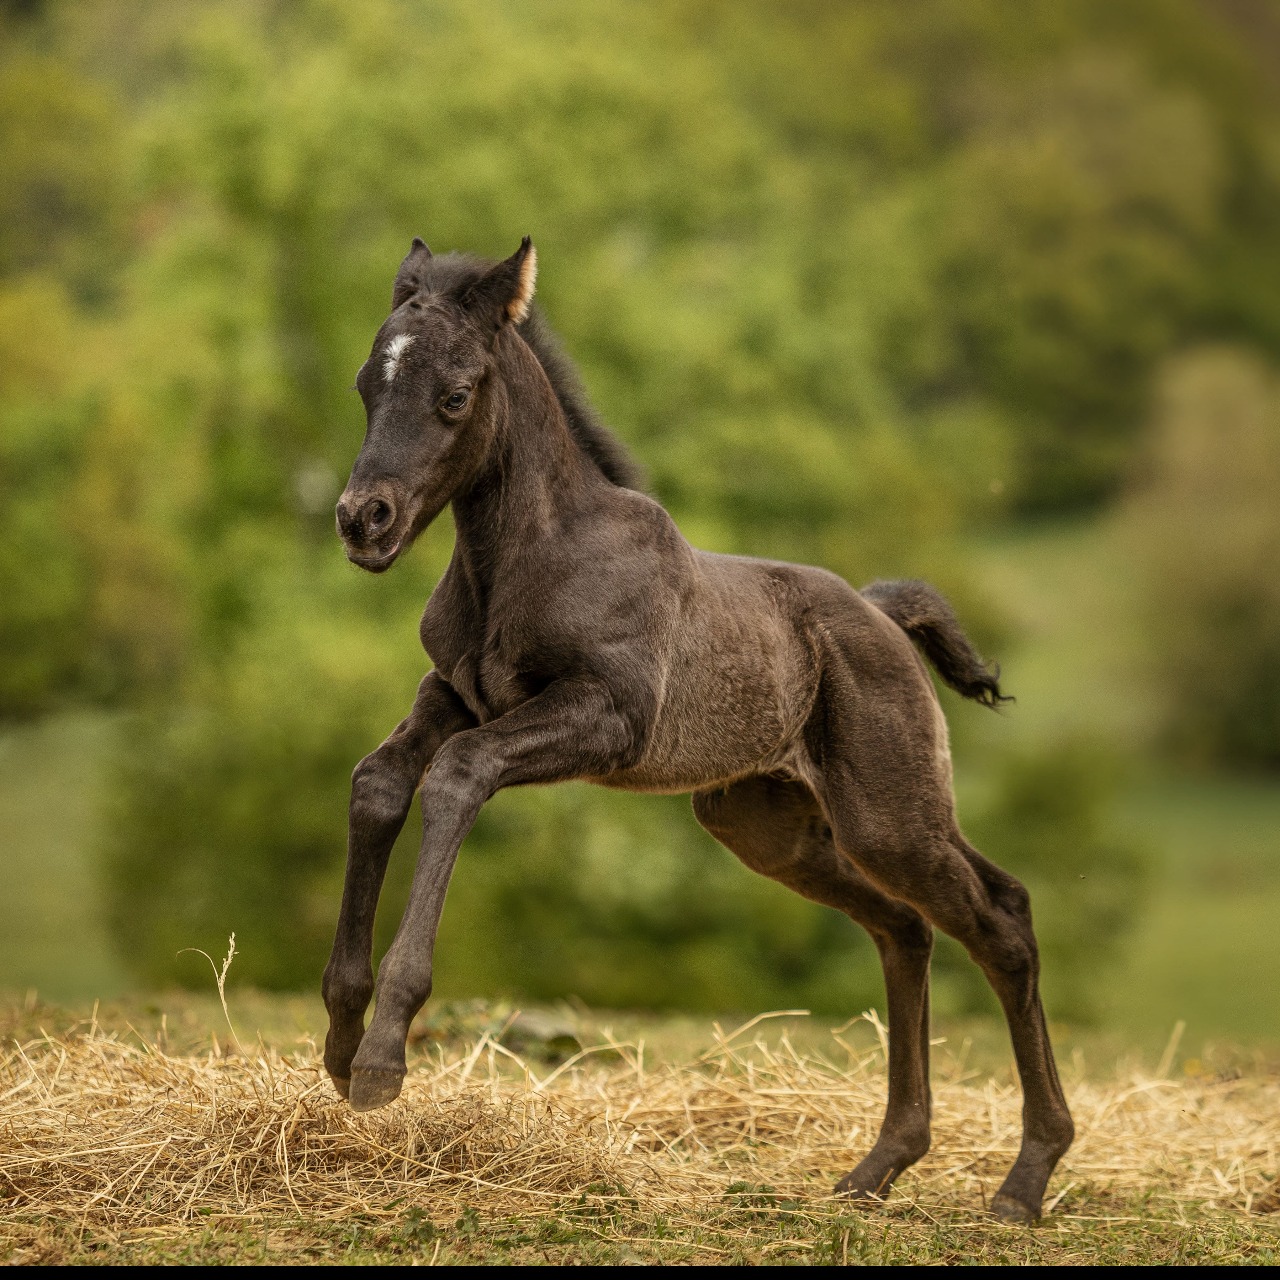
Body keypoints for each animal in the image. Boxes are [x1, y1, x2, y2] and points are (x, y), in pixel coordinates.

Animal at [322, 236, 1074, 1222]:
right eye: (367, 384)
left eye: (454, 395)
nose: (362, 520)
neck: (525, 561)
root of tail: (880, 613)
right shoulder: (453, 690)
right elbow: (379, 780)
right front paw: (340, 1042)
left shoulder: (608, 719)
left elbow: (454, 774)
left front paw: (381, 1060)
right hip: (766, 826)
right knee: (904, 929)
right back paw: (878, 1167)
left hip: (891, 815)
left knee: (1001, 918)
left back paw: (1026, 1180)